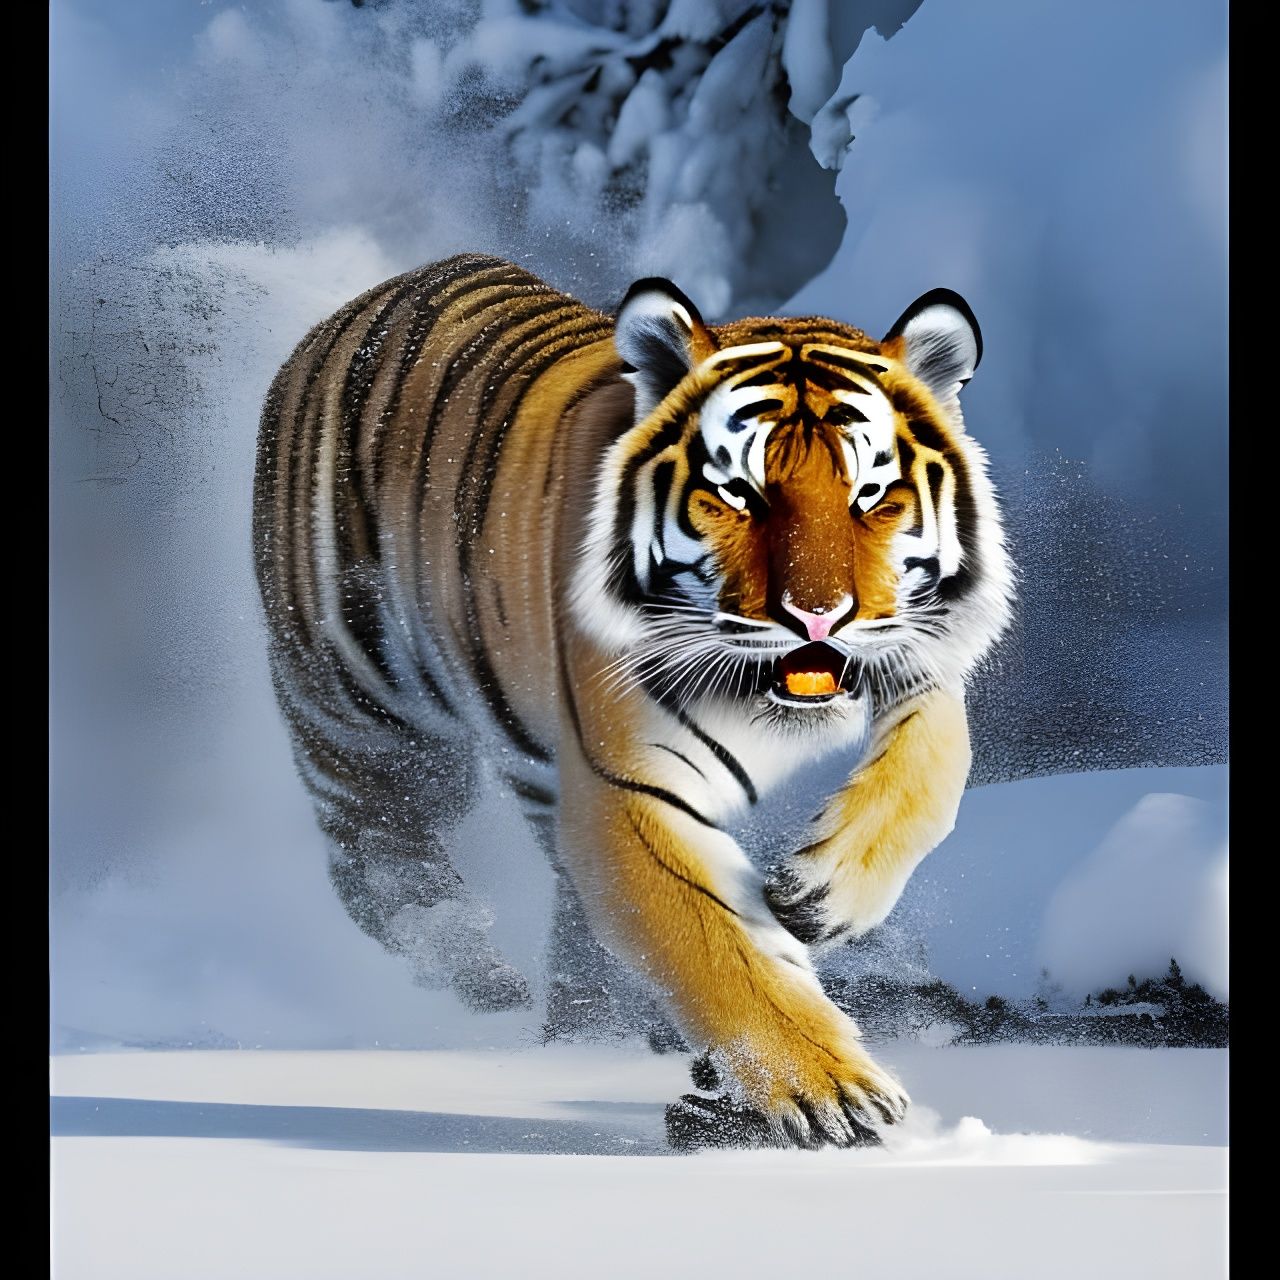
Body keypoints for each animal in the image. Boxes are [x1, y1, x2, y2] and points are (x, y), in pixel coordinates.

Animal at [253, 252, 1013, 1148]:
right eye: (741, 494)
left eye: (871, 495)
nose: (818, 615)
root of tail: (360, 304)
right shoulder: (629, 788)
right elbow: (718, 946)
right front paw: (828, 1092)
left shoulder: (920, 662)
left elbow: (930, 772)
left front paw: (822, 895)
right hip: (360, 702)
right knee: (369, 849)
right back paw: (472, 968)